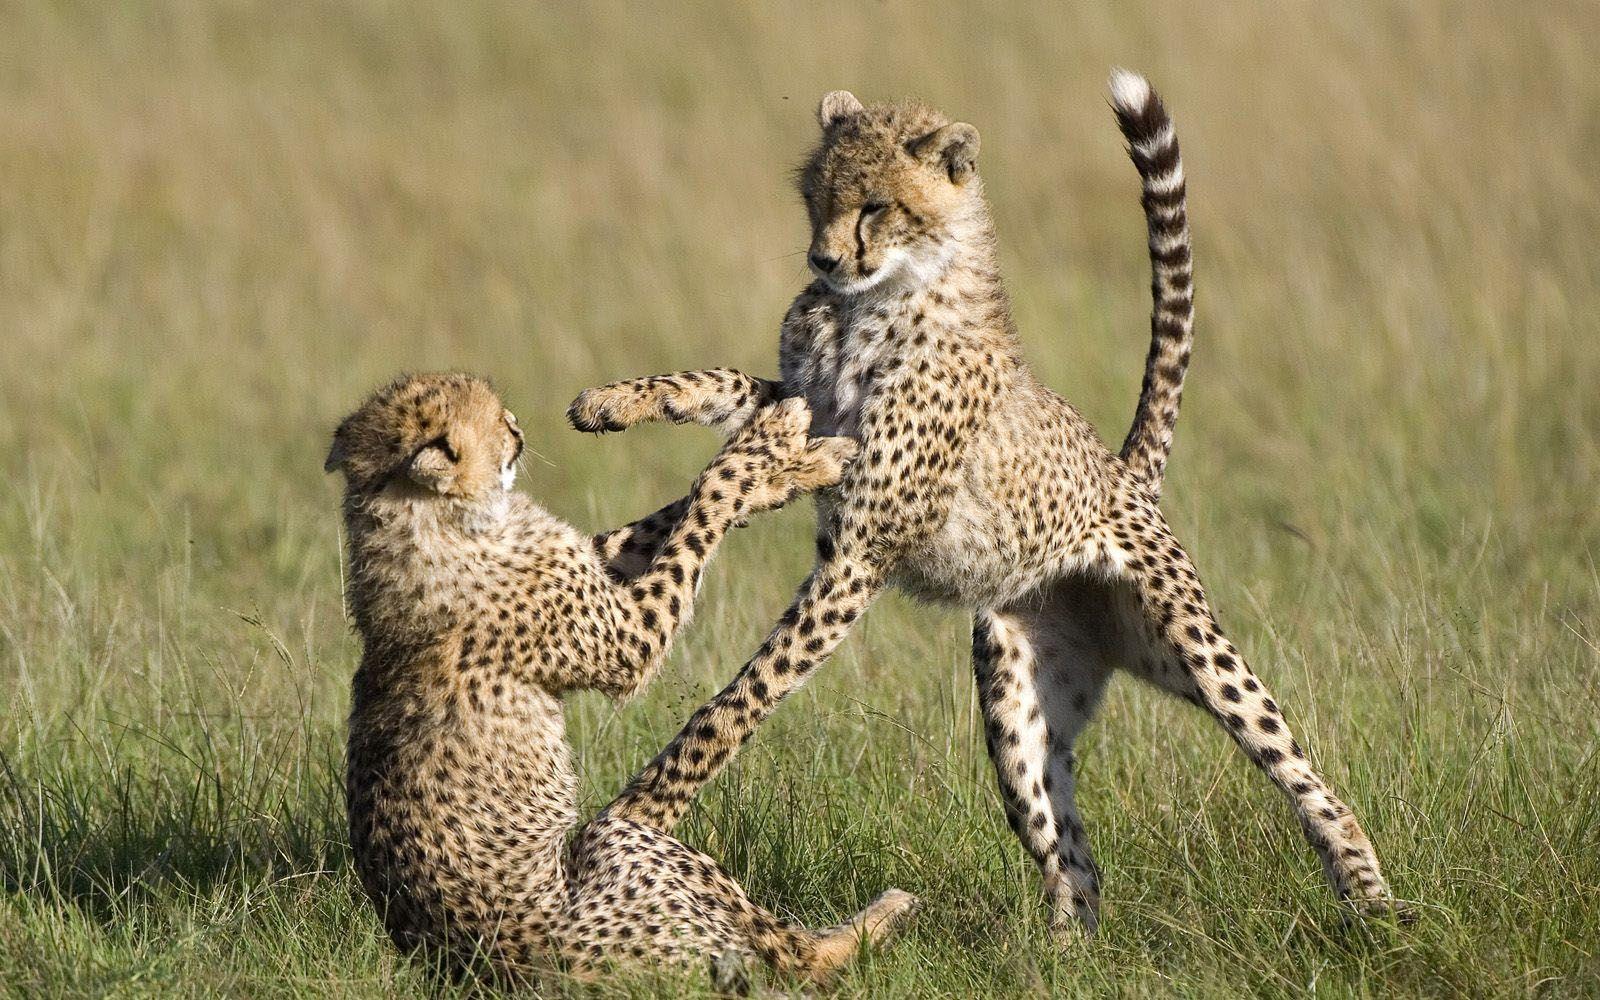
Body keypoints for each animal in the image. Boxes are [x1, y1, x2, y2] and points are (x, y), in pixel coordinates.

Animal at [325, 372, 915, 987]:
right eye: (492, 422)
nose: (517, 426)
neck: (422, 519)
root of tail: (484, 967)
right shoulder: (630, 637)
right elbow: (710, 494)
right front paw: (771, 443)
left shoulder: (592, 561)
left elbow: (659, 517)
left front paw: (794, 466)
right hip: (625, 847)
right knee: (794, 956)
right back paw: (884, 914)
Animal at [567, 70, 1401, 938]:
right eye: (815, 197)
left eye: (875, 205)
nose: (823, 259)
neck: (877, 298)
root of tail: (1122, 474)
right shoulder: (810, 411)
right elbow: (726, 402)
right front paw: (616, 405)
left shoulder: (862, 546)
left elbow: (738, 700)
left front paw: (639, 812)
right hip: (1016, 705)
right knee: (1073, 860)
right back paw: (1060, 953)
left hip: (1190, 648)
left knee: (1295, 767)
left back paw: (1373, 903)